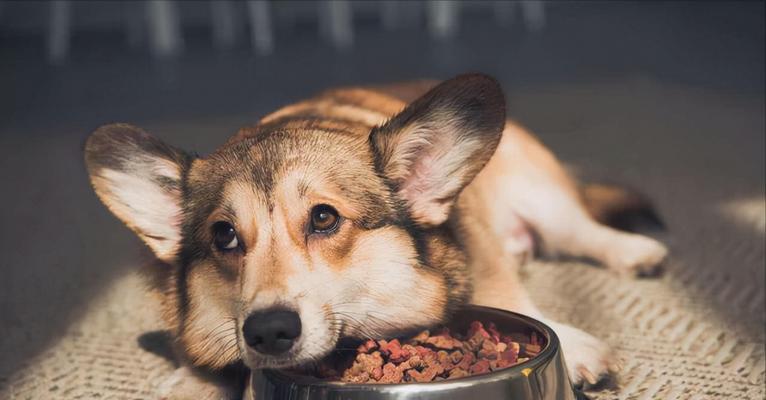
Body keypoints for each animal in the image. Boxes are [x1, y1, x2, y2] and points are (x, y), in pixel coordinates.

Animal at [84, 73, 668, 398]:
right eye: (224, 236)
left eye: (324, 219)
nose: (269, 332)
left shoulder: (482, 251)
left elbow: (509, 296)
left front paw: (577, 346)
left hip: (540, 193)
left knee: (582, 230)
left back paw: (635, 251)